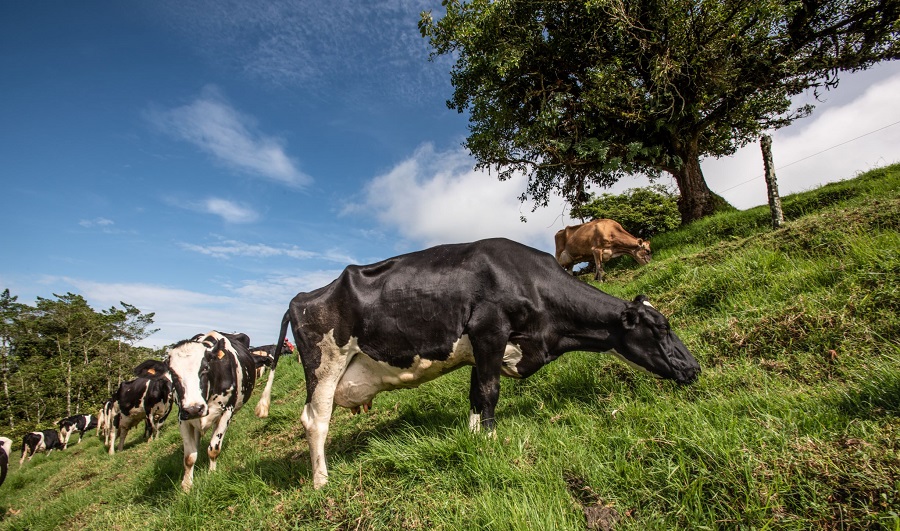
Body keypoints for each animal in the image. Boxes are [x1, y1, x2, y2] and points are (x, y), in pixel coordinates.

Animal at [166, 330, 270, 492]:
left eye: (205, 368)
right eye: (172, 373)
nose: (194, 409)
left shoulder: (227, 411)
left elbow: (213, 448)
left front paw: (211, 474)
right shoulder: (182, 417)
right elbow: (189, 456)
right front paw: (187, 486)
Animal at [256, 239, 700, 488]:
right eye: (661, 328)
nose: (694, 368)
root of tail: (303, 296)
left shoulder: (482, 350)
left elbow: (475, 395)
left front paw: (472, 440)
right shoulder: (490, 332)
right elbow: (489, 392)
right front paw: (490, 443)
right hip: (324, 365)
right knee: (316, 420)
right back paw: (321, 481)